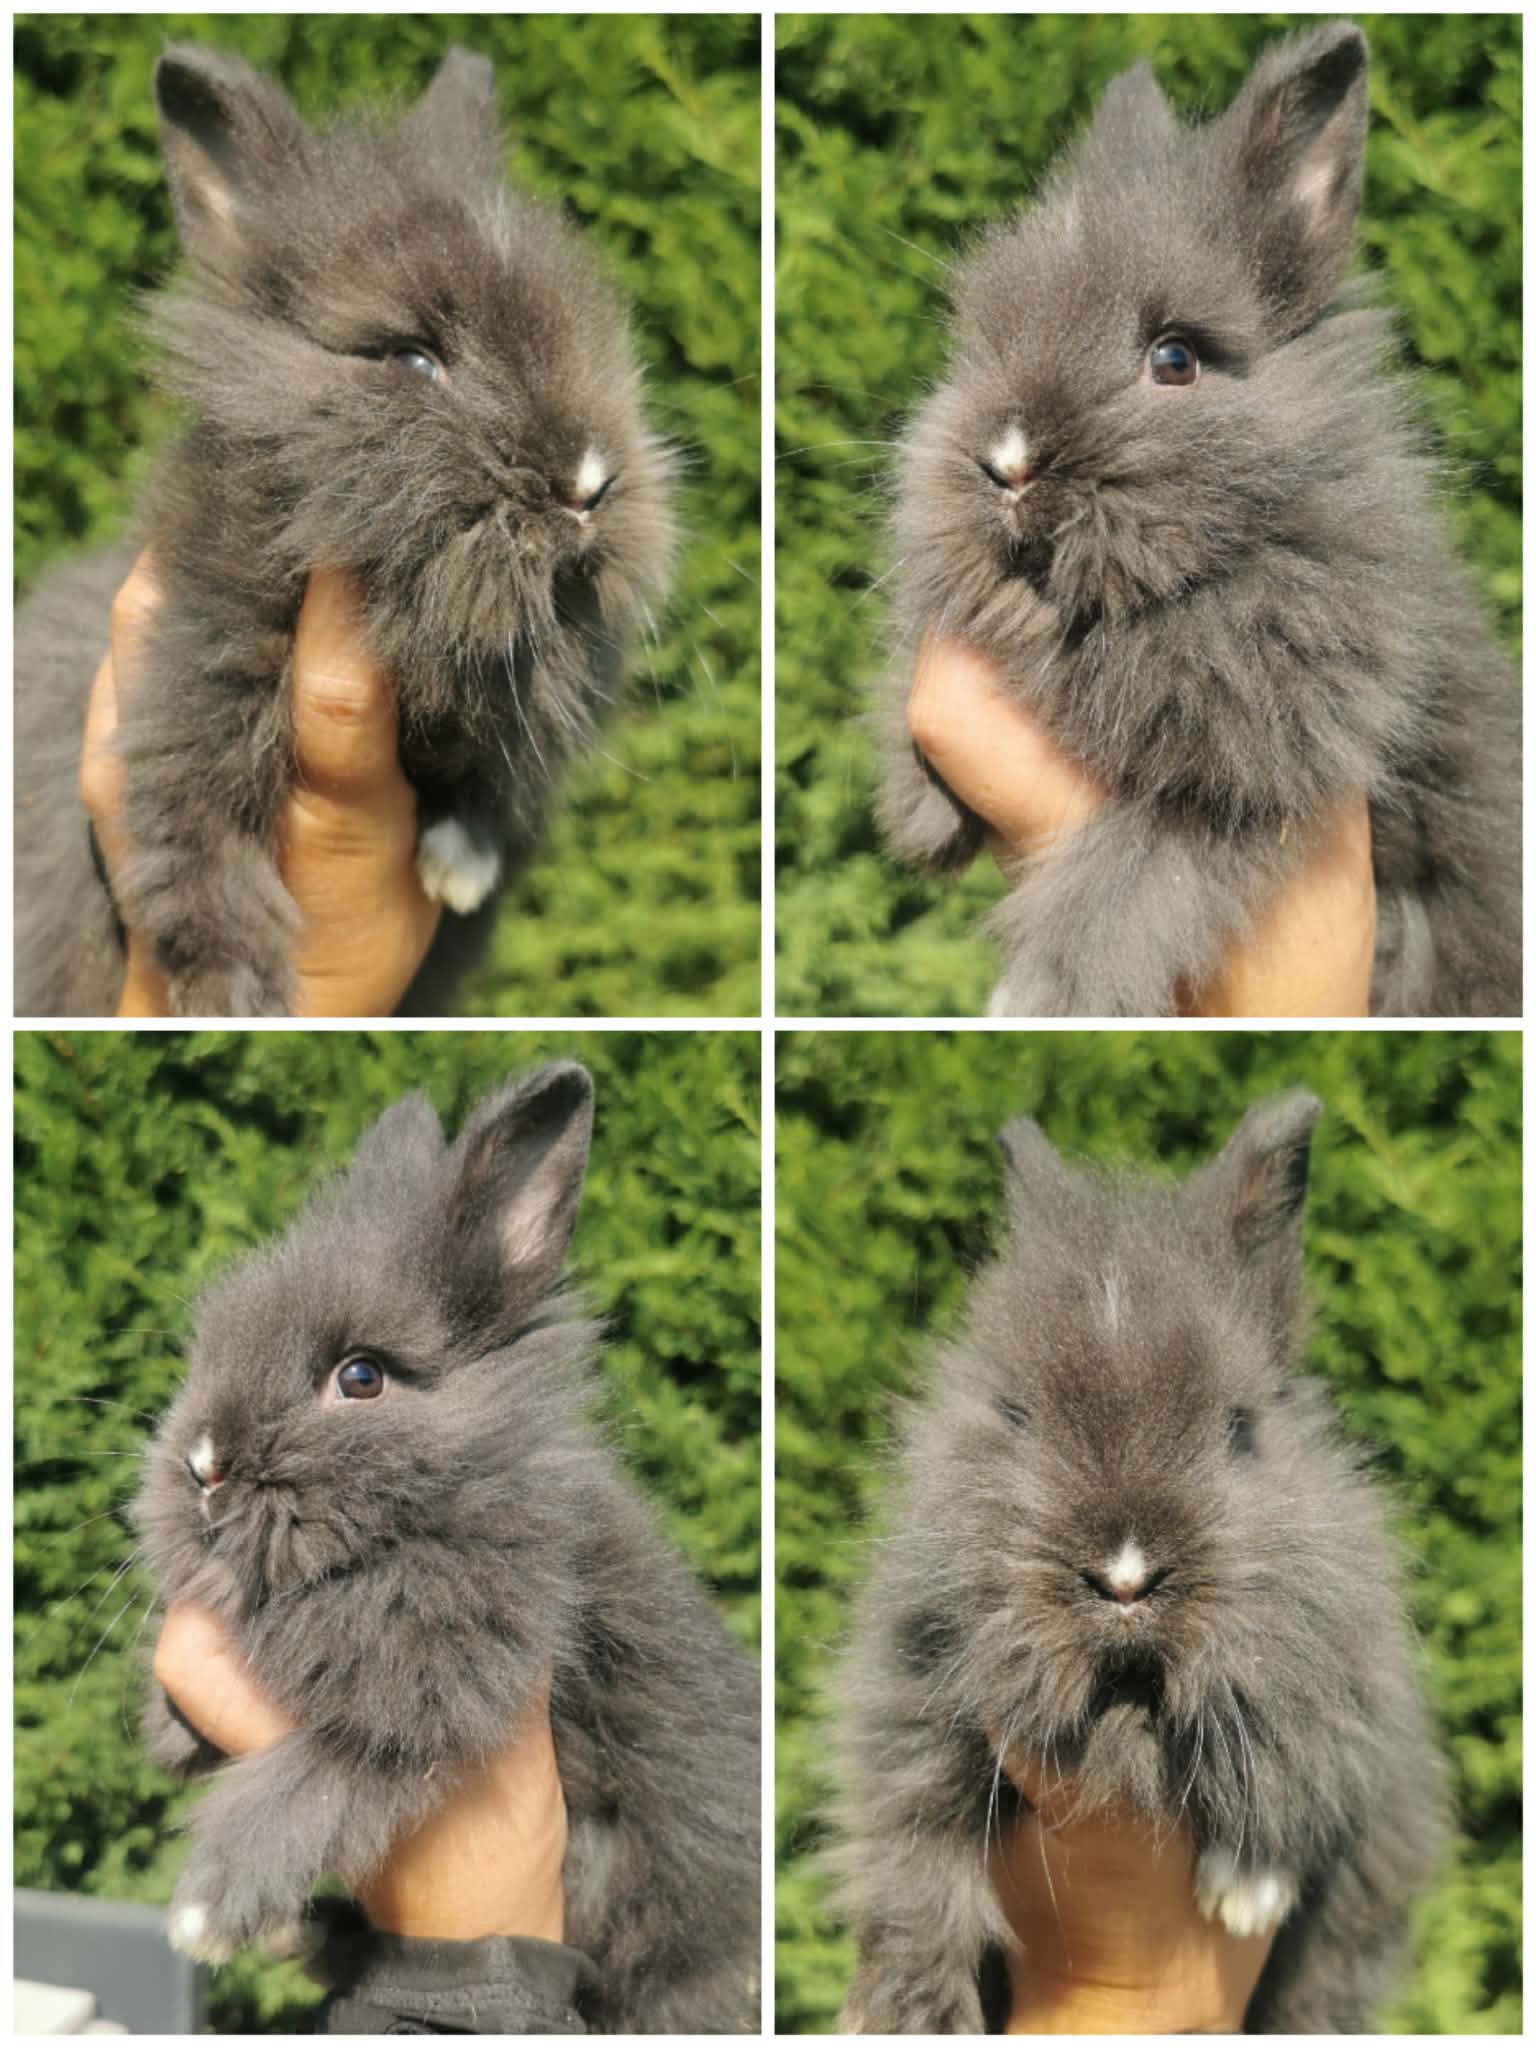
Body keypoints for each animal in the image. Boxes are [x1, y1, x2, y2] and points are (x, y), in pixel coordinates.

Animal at [14, 44, 675, 1018]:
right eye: (411, 360)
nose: (588, 484)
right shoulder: (195, 671)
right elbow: (194, 829)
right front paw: (229, 993)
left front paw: (458, 868)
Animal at [135, 1061, 760, 2033]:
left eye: (361, 1376)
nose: (202, 1466)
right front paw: (168, 1732)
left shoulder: (434, 1709)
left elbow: (318, 1778)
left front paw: (209, 1907)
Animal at [831, 1090, 1448, 2032]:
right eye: (1017, 1417)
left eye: (1240, 1433)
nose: (1124, 1578)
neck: (1127, 1706)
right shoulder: (909, 1715)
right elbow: (915, 1872)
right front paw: (905, 2014)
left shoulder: (1359, 1716)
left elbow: (1298, 1767)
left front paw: (1245, 1896)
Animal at [875, 20, 1520, 1018]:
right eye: (982, 343)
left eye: (1174, 359)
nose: (1006, 462)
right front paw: (919, 813)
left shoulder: (1238, 793)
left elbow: (1125, 886)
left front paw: (1040, 999)